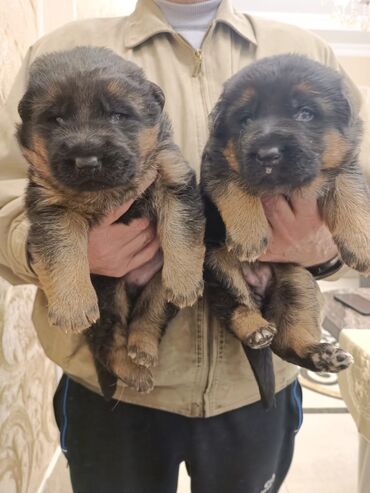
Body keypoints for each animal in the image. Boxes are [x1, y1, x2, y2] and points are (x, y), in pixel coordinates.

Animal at [18, 46, 205, 398]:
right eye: (56, 119)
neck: (107, 192)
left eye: (117, 115)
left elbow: (181, 229)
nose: (86, 161)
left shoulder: (172, 175)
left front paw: (186, 280)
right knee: (109, 343)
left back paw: (142, 350)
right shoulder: (52, 207)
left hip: (155, 282)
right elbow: (63, 251)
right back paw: (134, 370)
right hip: (108, 295)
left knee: (150, 313)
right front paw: (73, 306)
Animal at [201, 54, 366, 404]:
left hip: (298, 281)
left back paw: (322, 354)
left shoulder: (343, 163)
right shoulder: (216, 165)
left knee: (287, 340)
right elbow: (237, 184)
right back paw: (255, 328)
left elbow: (350, 189)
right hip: (215, 264)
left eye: (305, 113)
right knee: (236, 308)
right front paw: (250, 235)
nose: (267, 154)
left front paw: (360, 243)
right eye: (246, 119)